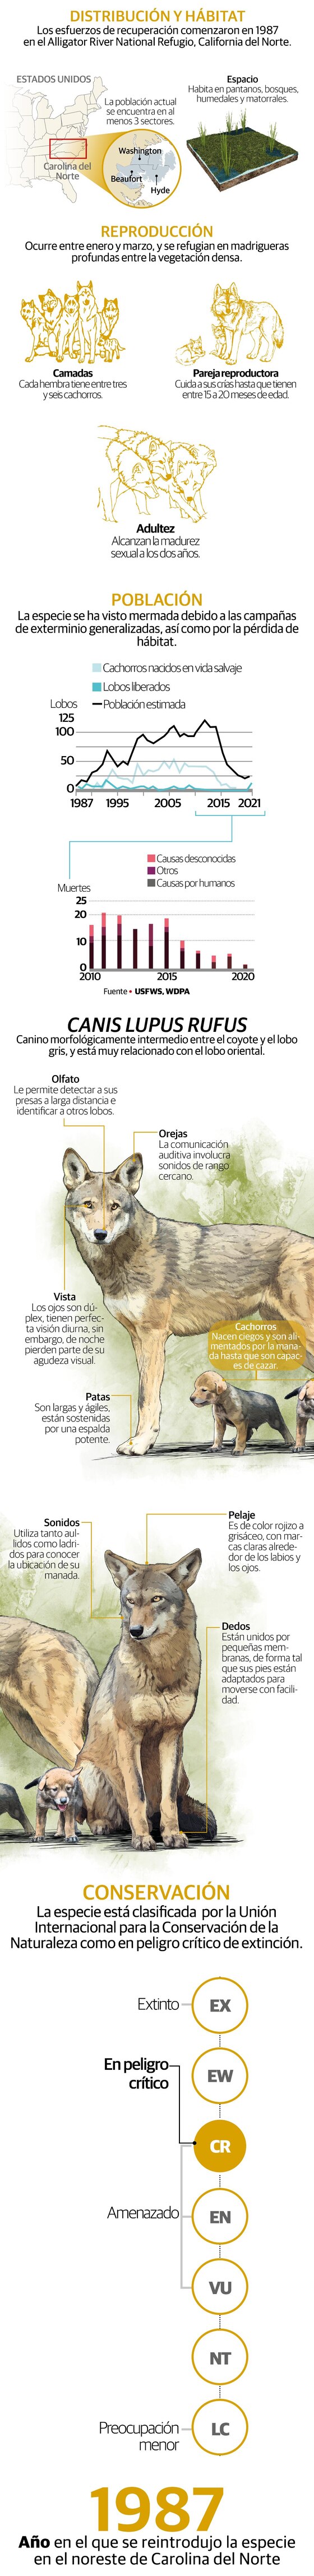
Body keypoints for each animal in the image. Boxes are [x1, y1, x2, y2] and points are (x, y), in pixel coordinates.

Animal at [62, 1149, 314, 1456]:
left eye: (115, 1207)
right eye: (89, 1205)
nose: (101, 1234)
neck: (126, 1257)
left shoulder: (154, 1336)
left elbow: (147, 1398)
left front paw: (141, 1444)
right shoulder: (138, 1339)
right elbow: (144, 1396)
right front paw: (138, 1441)